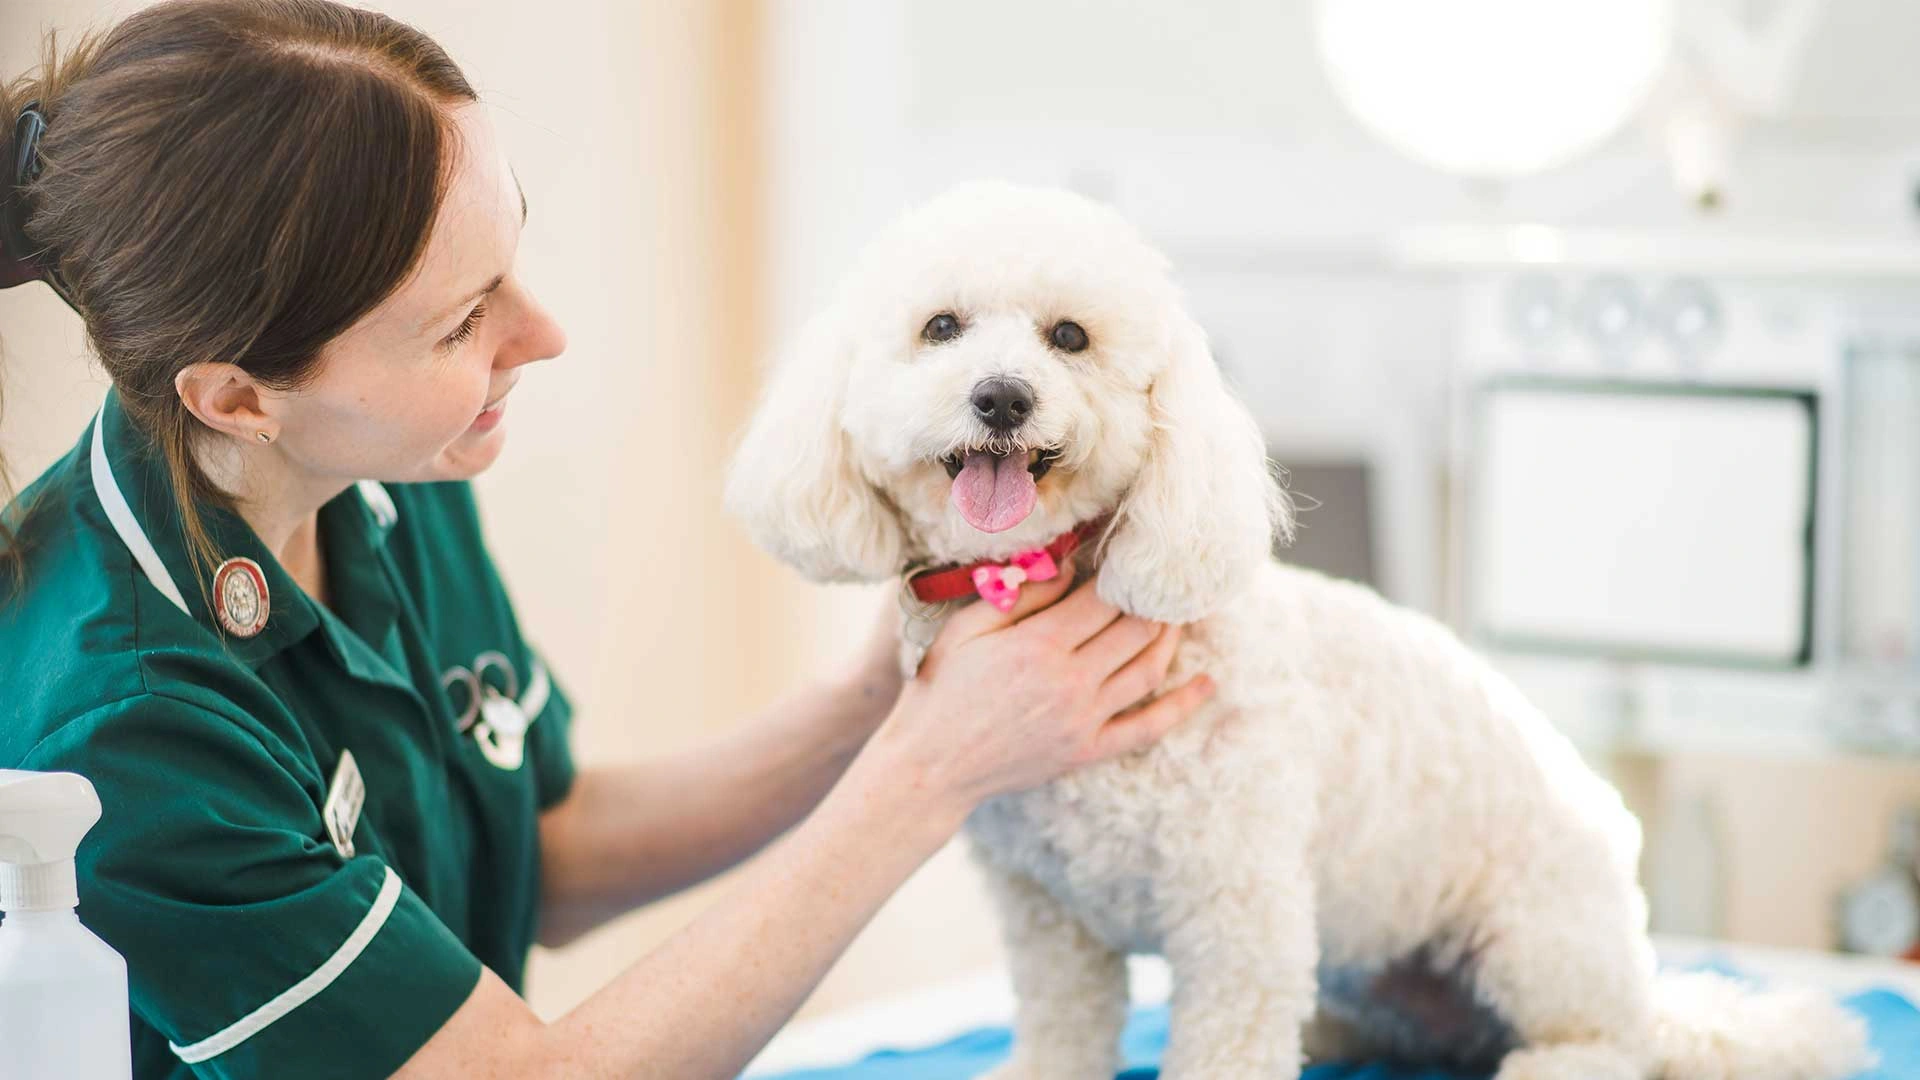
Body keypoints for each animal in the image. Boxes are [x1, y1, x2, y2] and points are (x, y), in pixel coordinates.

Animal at [721, 180, 1873, 1068]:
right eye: (941, 329)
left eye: (1069, 337)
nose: (1002, 397)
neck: (1040, 576)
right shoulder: (1052, 934)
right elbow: (1059, 1040)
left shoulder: (1238, 921)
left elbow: (1226, 1044)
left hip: (1538, 938)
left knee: (1606, 1046)